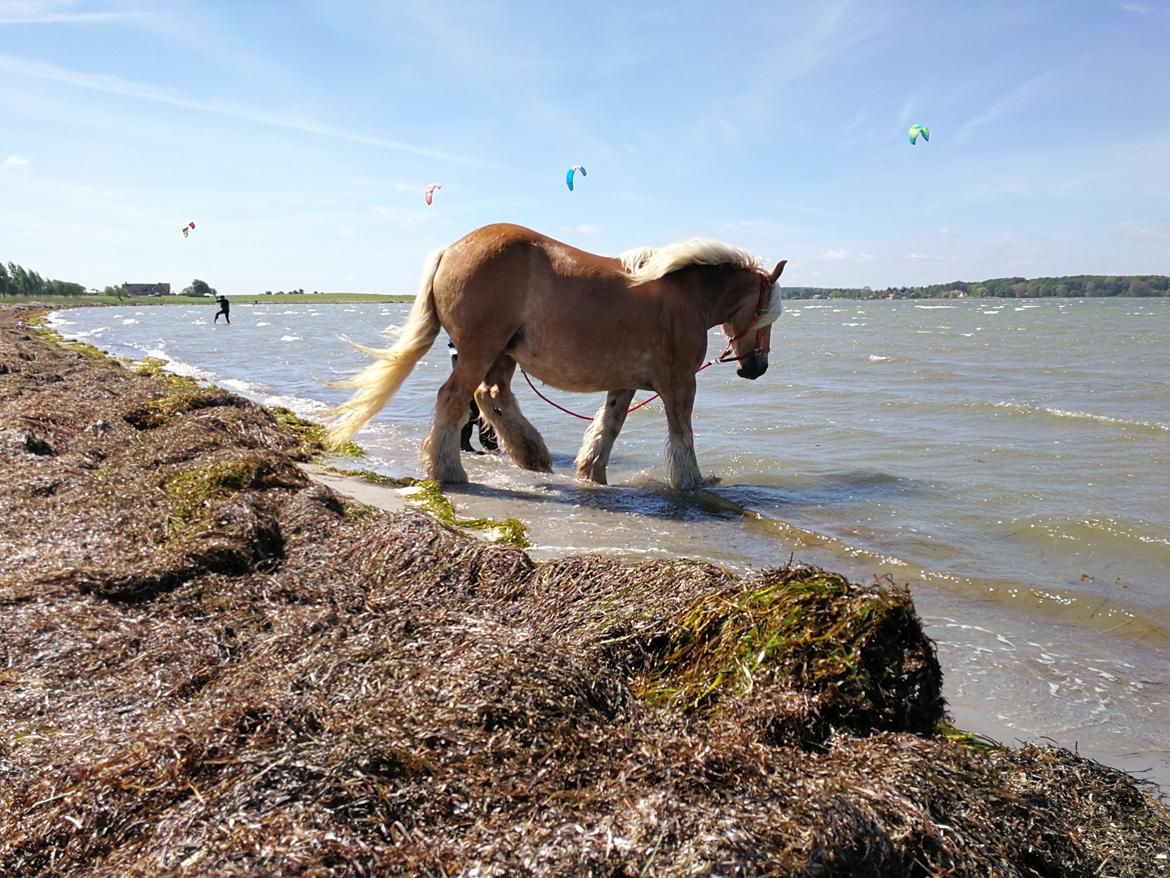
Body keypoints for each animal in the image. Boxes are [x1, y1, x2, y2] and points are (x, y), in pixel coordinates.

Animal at [327, 223, 786, 491]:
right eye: (767, 313)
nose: (756, 367)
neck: (685, 296)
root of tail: (451, 249)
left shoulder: (624, 383)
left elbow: (607, 428)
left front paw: (592, 473)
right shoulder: (679, 383)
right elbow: (682, 435)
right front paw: (693, 483)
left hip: (503, 353)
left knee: (490, 396)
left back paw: (530, 453)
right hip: (480, 348)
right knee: (455, 399)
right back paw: (449, 470)